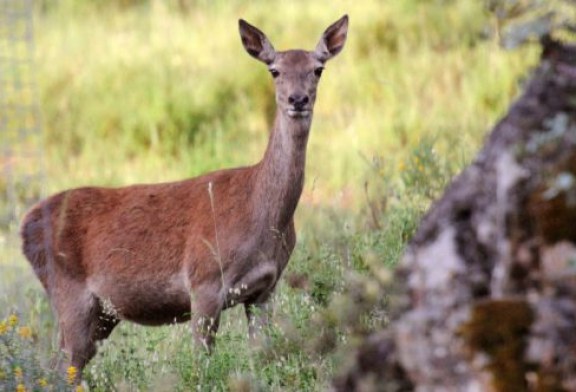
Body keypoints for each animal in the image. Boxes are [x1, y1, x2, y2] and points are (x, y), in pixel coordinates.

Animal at [20, 15, 348, 376]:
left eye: (318, 69)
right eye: (274, 70)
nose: (297, 99)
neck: (260, 214)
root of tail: (25, 226)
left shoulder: (265, 289)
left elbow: (262, 356)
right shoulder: (204, 281)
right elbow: (202, 364)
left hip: (102, 314)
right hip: (68, 292)